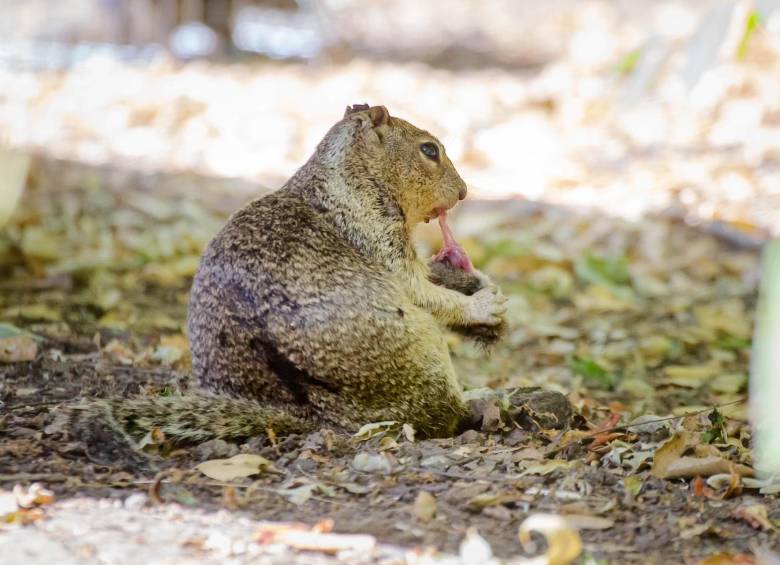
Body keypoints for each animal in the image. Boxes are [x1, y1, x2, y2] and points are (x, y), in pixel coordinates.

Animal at [70, 104, 508, 446]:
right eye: (429, 149)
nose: (464, 191)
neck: (351, 178)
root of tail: (305, 415)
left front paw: (469, 280)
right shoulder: (377, 238)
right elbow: (420, 291)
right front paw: (483, 305)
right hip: (423, 354)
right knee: (438, 418)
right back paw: (481, 407)